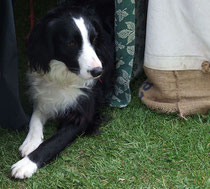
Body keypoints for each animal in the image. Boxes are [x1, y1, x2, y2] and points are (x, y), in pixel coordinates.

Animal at [11, 0, 115, 178]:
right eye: (71, 43)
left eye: (94, 39)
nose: (98, 72)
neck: (65, 74)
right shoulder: (45, 97)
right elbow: (35, 118)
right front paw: (31, 142)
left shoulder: (82, 115)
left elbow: (53, 142)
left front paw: (26, 164)